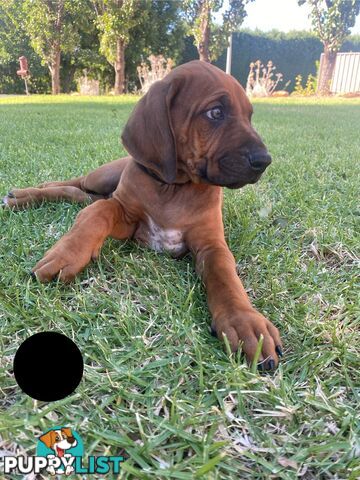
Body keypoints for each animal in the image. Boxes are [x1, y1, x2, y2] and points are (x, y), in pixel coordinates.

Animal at [4, 60, 282, 372]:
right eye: (215, 113)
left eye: (249, 116)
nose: (264, 160)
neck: (174, 187)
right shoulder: (126, 215)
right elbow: (98, 213)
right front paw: (67, 253)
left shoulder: (211, 243)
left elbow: (224, 274)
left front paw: (244, 321)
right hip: (103, 176)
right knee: (78, 186)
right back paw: (28, 193)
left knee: (80, 195)